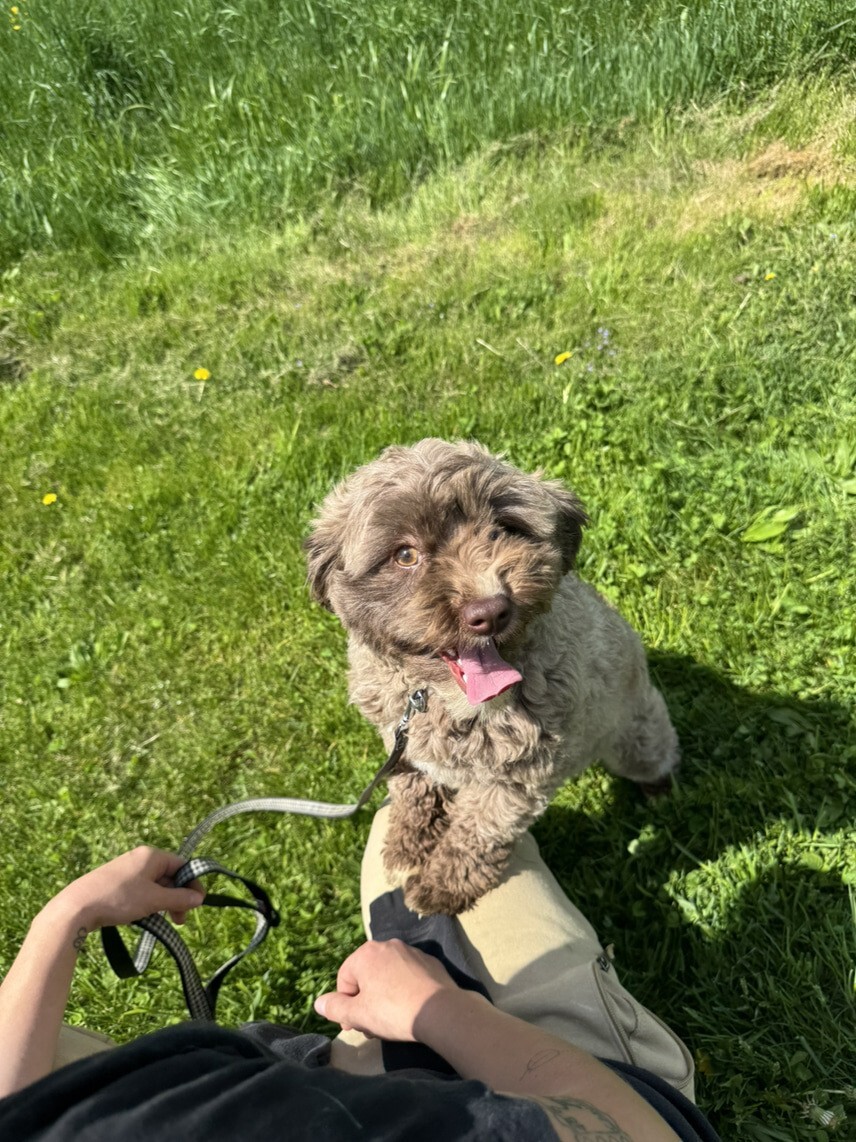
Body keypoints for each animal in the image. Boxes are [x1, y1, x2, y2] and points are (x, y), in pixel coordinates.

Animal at [305, 439, 680, 915]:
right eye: (405, 555)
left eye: (504, 528)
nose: (491, 610)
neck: (440, 700)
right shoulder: (400, 741)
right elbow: (412, 790)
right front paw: (407, 845)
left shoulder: (515, 782)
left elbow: (478, 834)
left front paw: (442, 885)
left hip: (636, 739)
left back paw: (660, 792)